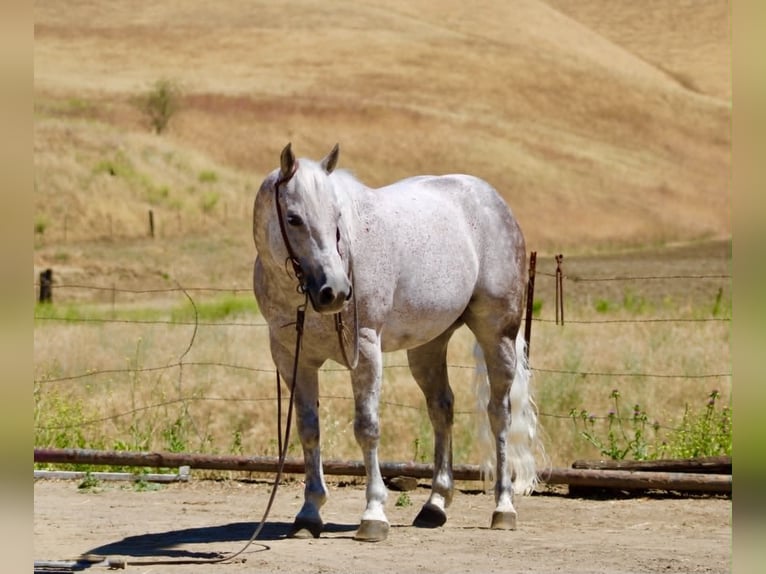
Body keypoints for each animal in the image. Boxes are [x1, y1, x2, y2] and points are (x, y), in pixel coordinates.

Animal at [252, 143, 539, 542]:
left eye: (337, 217)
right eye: (293, 218)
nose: (335, 291)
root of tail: (491, 198)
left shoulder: (365, 349)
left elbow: (367, 428)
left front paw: (373, 514)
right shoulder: (292, 357)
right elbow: (309, 429)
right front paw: (309, 513)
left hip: (498, 336)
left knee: (499, 414)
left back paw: (504, 508)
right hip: (428, 346)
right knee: (442, 408)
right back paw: (434, 505)